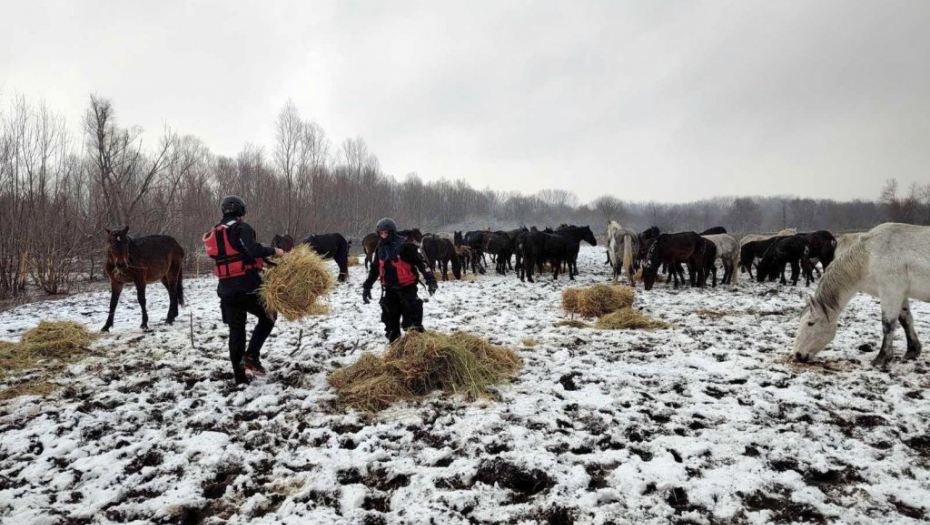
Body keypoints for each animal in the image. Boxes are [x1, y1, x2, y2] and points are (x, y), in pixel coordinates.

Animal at [792, 223, 928, 366]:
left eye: (810, 323)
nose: (798, 354)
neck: (869, 257)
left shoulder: (890, 293)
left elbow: (888, 325)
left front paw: (882, 357)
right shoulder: (900, 294)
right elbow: (906, 320)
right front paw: (912, 351)